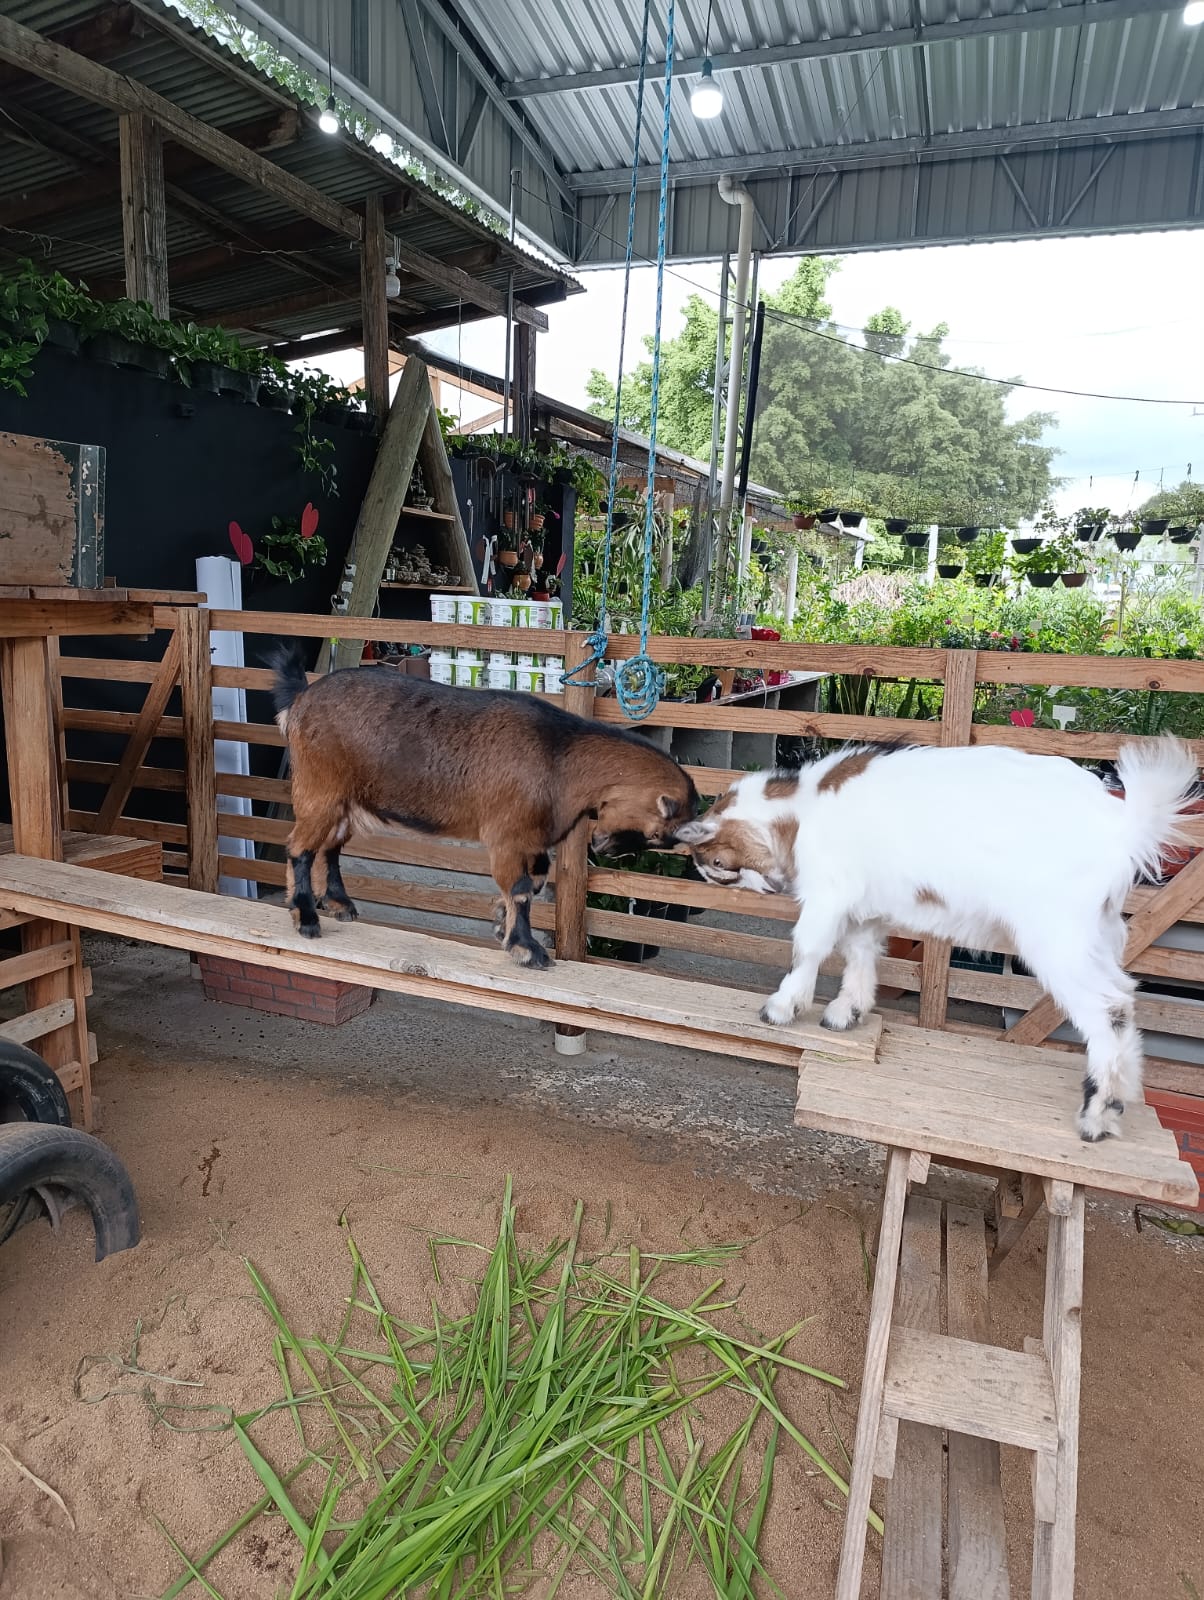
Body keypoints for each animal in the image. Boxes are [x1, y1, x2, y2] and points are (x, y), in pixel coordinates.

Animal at [268, 644, 697, 968]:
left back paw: (340, 904)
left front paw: (500, 924)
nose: (602, 847)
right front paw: (527, 949)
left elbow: (535, 882)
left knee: (330, 846)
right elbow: (521, 889)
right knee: (299, 847)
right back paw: (305, 917)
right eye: (658, 834)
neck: (560, 757)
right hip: (319, 788)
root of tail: (300, 699)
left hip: (344, 800)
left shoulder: (532, 839)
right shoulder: (507, 836)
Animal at [672, 738, 1199, 1141]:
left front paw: (781, 1008)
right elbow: (861, 953)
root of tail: (1121, 828)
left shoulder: (830, 891)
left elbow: (810, 946)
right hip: (1099, 931)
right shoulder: (864, 905)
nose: (768, 887)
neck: (804, 810)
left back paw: (1096, 1116)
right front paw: (847, 1012)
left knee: (1108, 1008)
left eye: (717, 864)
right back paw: (1120, 1102)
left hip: (1059, 935)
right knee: (1126, 999)